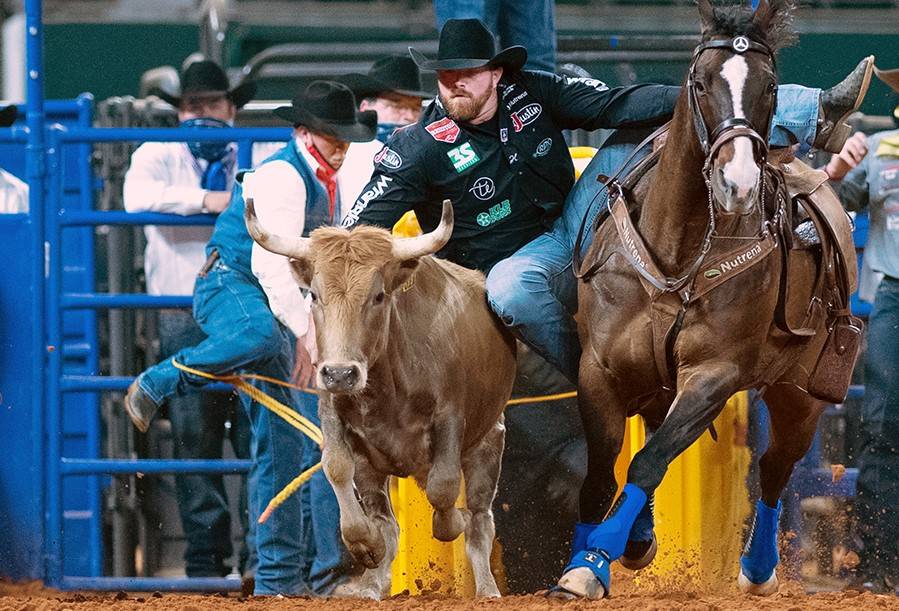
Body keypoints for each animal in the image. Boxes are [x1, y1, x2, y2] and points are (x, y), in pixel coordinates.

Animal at [560, 0, 860, 600]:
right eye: (699, 83)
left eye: (770, 86)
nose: (737, 181)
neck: (678, 253)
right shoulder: (600, 368)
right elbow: (602, 470)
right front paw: (587, 558)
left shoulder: (714, 374)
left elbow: (648, 461)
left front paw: (594, 560)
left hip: (801, 393)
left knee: (775, 467)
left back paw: (759, 567)